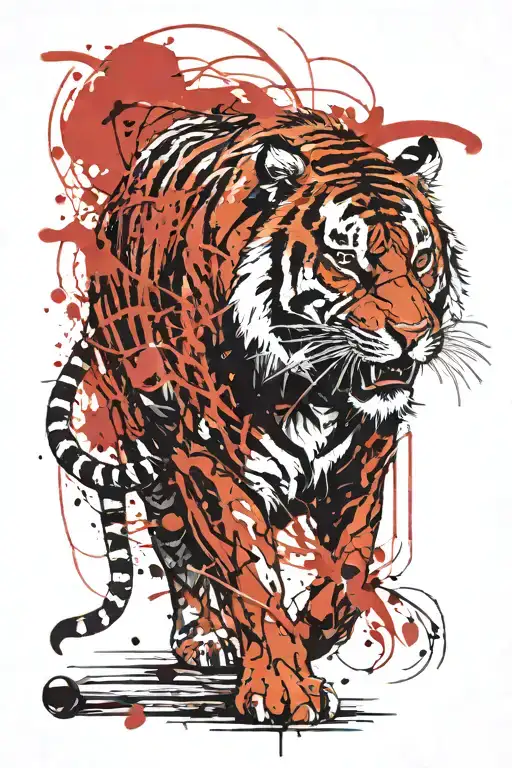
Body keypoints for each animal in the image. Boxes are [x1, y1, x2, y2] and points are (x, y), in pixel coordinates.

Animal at [46, 106, 471, 724]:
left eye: (418, 257)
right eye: (346, 260)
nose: (413, 336)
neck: (317, 388)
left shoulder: (365, 462)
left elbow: (349, 568)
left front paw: (313, 637)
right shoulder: (213, 462)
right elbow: (252, 575)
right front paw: (284, 689)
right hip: (148, 441)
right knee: (176, 545)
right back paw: (206, 637)